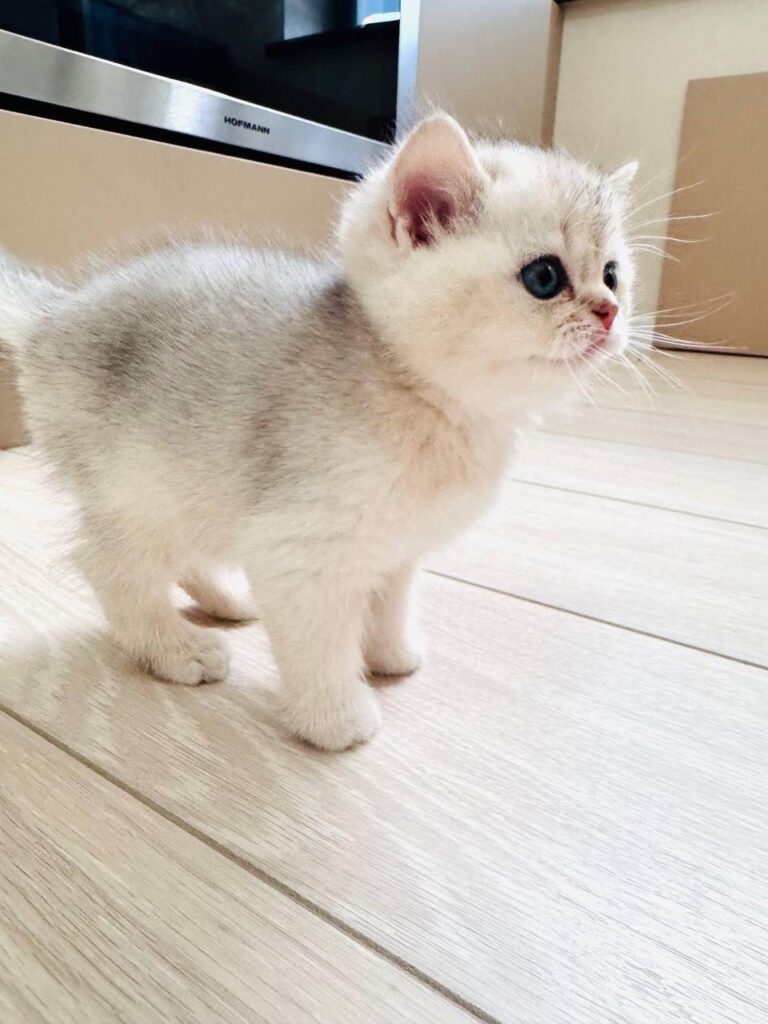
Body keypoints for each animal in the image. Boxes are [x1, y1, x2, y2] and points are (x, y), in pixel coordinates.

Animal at [0, 114, 636, 750]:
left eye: (612, 275)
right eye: (544, 276)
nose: (609, 313)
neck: (425, 399)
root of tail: (55, 315)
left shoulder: (396, 547)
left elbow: (389, 604)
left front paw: (389, 655)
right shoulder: (298, 552)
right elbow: (319, 647)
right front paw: (335, 717)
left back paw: (227, 599)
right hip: (141, 483)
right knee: (107, 565)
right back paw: (176, 648)